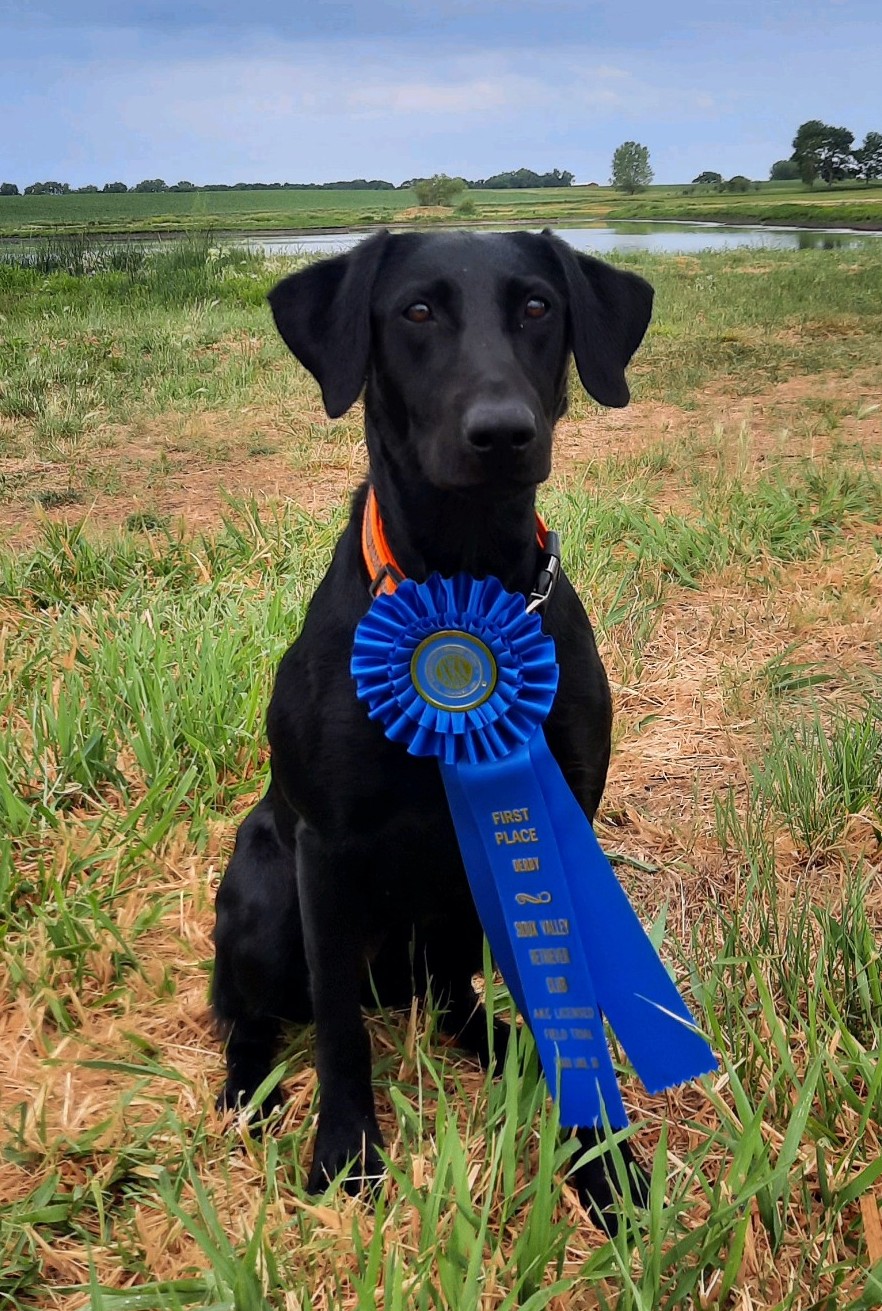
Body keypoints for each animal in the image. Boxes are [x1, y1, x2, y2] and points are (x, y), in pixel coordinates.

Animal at [210, 228, 652, 1216]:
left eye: (537, 306)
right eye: (416, 311)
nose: (502, 432)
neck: (463, 574)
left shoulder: (557, 819)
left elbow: (567, 1001)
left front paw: (602, 1161)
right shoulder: (324, 849)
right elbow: (339, 1031)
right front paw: (346, 1153)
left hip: (457, 911)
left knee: (452, 1000)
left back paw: (505, 1049)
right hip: (265, 895)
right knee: (250, 1014)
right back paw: (248, 1092)